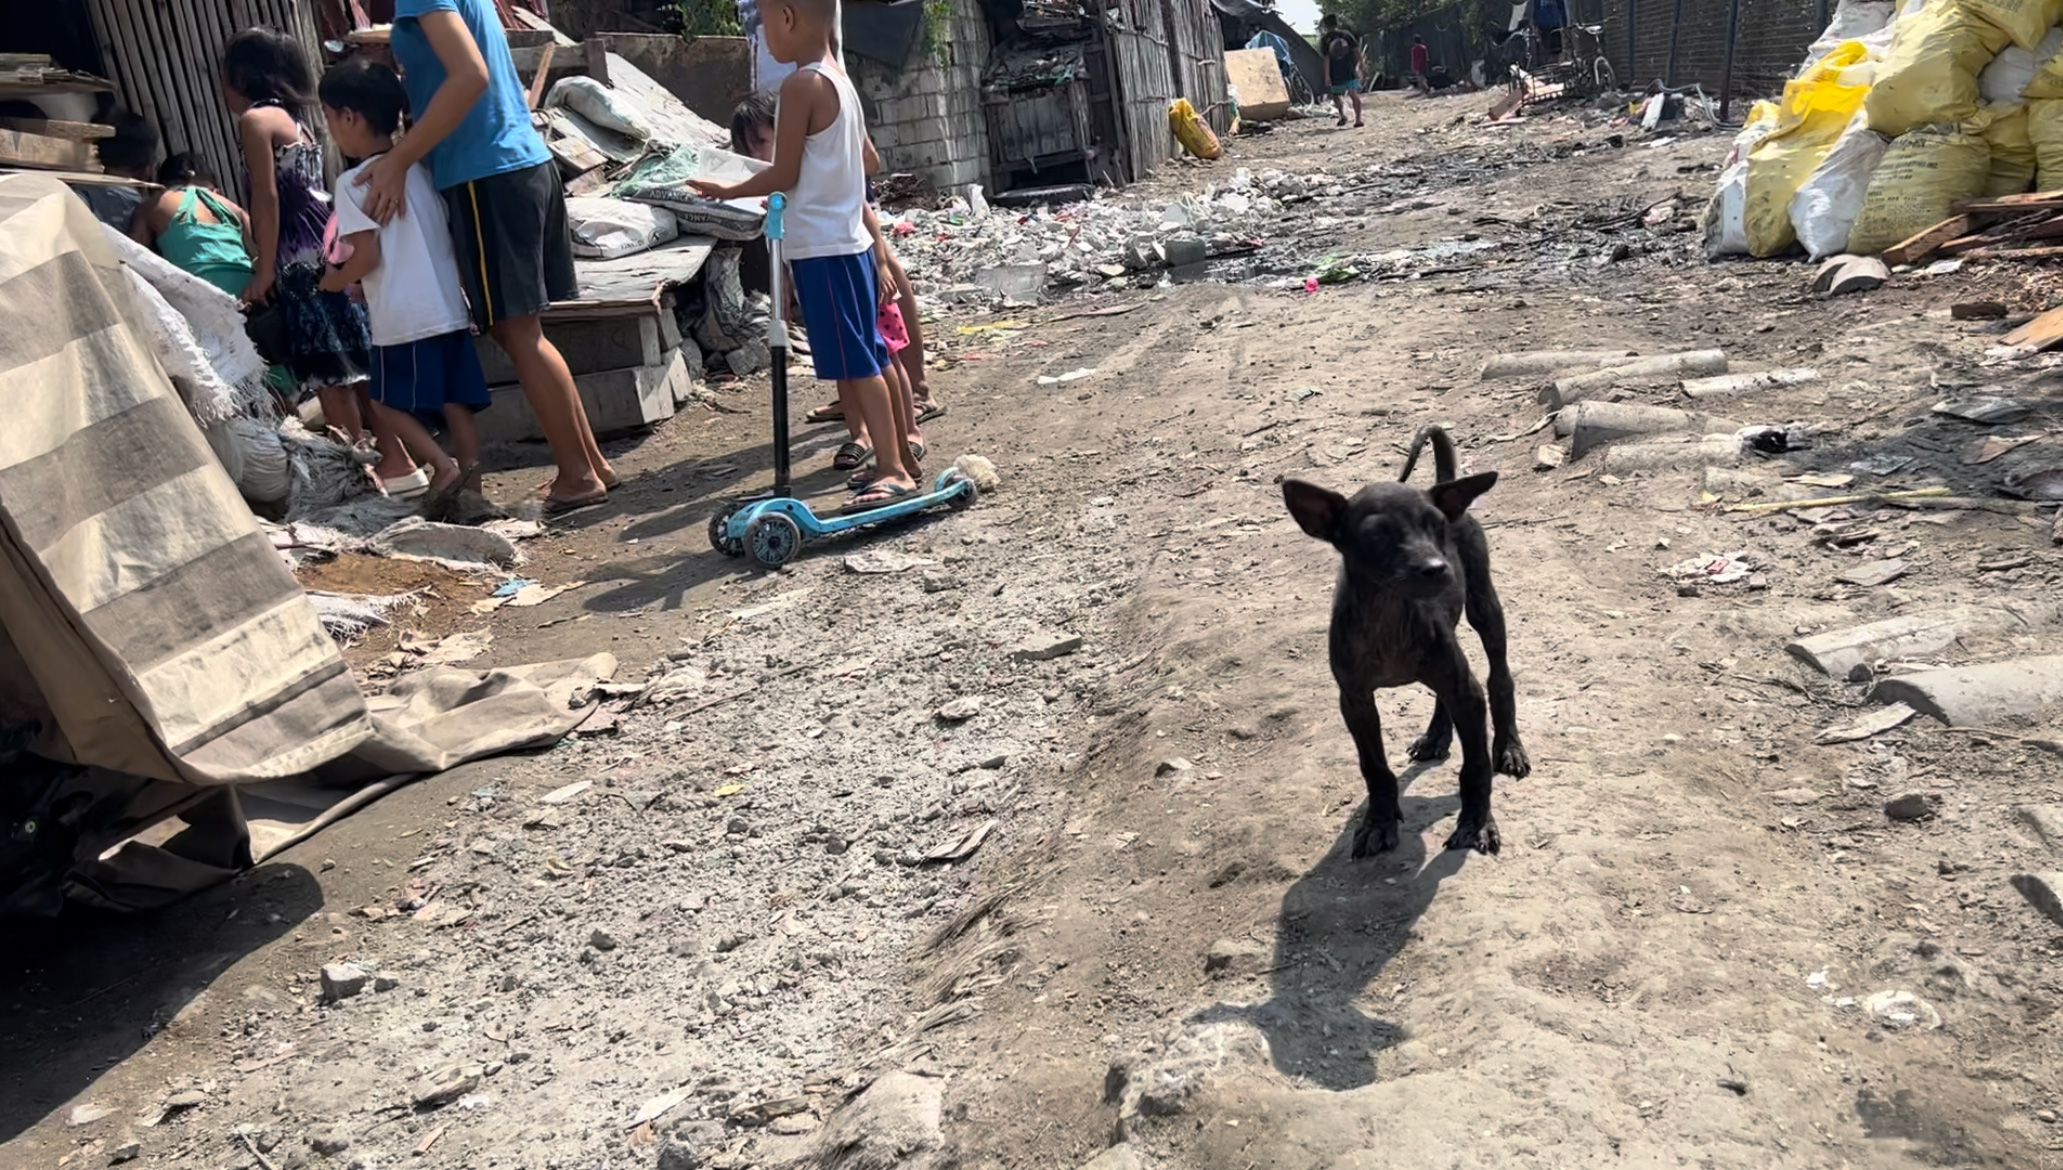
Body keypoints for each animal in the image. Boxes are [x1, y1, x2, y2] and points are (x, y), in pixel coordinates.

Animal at [1270, 431, 1534, 862]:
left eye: (1437, 526)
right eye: (1377, 535)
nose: (1437, 568)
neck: (1388, 617)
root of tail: (1445, 482)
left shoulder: (1467, 693)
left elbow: (1475, 767)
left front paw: (1476, 823)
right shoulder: (1355, 701)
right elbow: (1374, 768)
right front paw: (1379, 823)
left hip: (1484, 608)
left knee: (1500, 678)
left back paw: (1510, 746)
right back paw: (1436, 735)